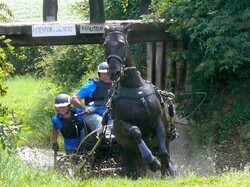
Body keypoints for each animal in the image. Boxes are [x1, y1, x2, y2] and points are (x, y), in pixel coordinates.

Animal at [102, 24, 175, 178]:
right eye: (106, 44)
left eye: (122, 43)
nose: (114, 72)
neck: (134, 88)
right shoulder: (121, 121)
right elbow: (135, 131)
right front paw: (152, 161)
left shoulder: (157, 118)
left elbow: (163, 152)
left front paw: (166, 166)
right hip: (127, 152)